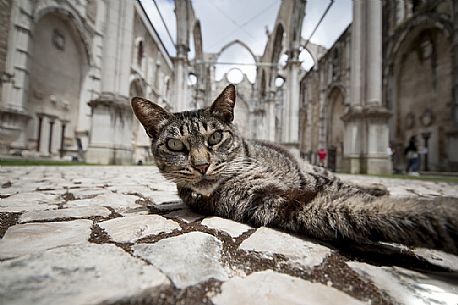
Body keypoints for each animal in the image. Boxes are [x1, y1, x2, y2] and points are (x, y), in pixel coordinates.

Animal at [131, 83, 456, 254]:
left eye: (215, 137)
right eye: (175, 145)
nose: (201, 165)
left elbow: (358, 196)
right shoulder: (280, 202)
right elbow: (363, 210)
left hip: (315, 172)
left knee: (340, 180)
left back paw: (377, 185)